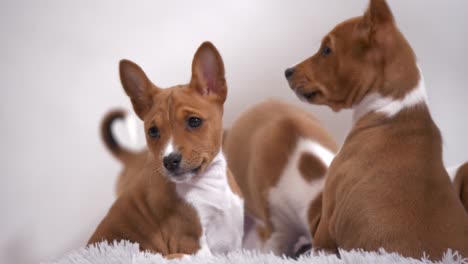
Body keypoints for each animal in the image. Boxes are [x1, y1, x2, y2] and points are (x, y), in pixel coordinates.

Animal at [87, 41, 245, 258]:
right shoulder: (191, 245)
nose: (170, 160)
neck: (210, 185)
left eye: (194, 121)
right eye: (153, 131)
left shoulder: (234, 240)